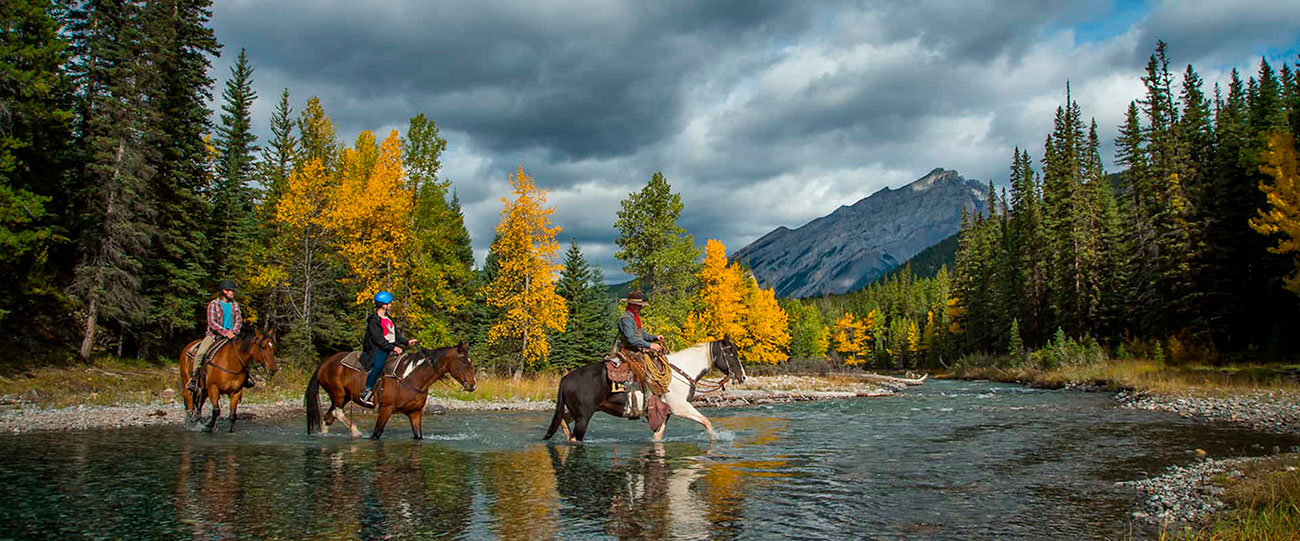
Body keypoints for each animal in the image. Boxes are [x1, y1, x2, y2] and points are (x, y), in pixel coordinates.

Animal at [306, 343, 480, 439]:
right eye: (464, 361)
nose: (472, 385)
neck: (410, 378)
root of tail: (324, 364)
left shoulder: (415, 413)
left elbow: (418, 435)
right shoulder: (385, 409)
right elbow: (376, 433)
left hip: (344, 396)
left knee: (329, 416)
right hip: (339, 394)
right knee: (337, 412)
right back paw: (356, 432)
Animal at [538, 338, 743, 444]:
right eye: (730, 353)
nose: (742, 376)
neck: (682, 371)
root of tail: (565, 379)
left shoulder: (665, 413)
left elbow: (657, 436)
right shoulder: (680, 407)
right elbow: (707, 422)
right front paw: (715, 438)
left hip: (574, 412)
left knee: (563, 421)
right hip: (583, 418)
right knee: (575, 438)